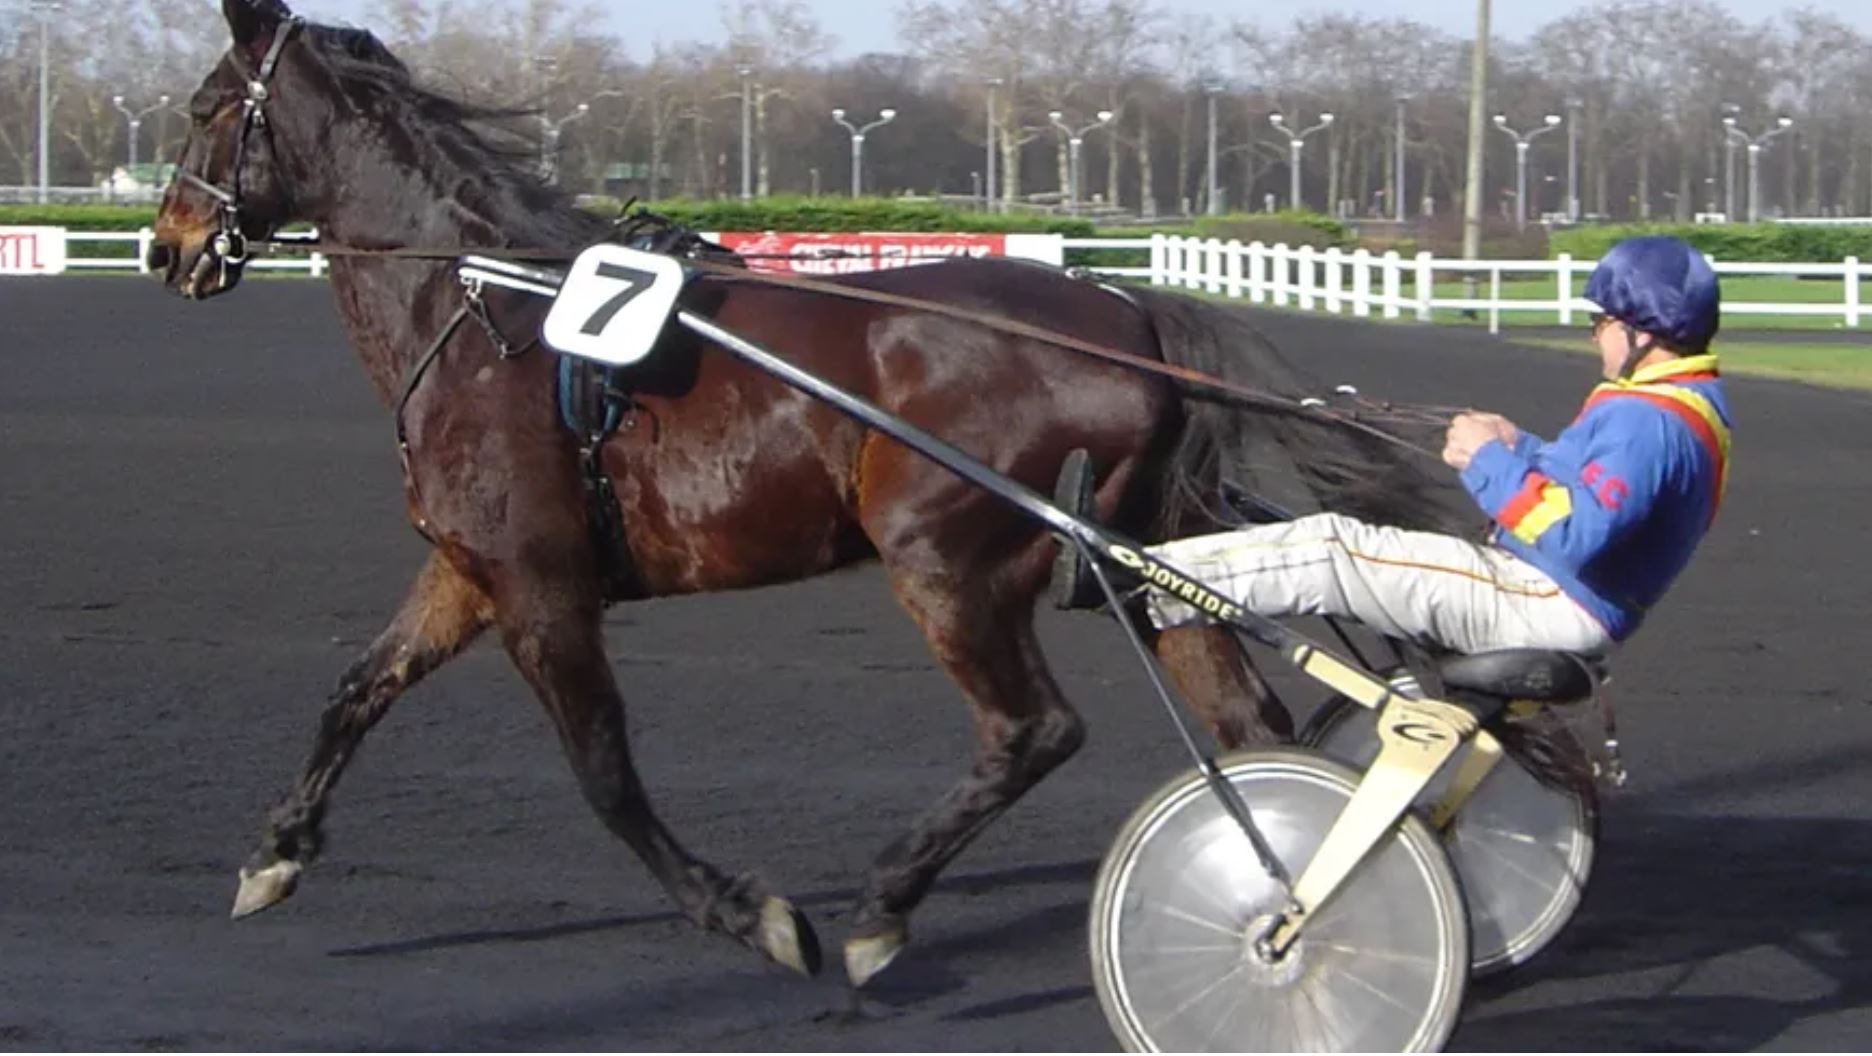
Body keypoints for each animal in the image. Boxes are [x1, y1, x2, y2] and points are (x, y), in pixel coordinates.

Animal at [153, 0, 1460, 988]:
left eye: (207, 108)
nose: (168, 246)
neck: (488, 313)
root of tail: (1129, 312)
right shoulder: (470, 571)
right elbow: (355, 691)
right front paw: (275, 853)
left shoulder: (543, 586)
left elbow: (606, 775)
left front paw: (758, 917)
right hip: (1146, 567)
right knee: (1244, 727)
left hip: (944, 556)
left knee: (1032, 729)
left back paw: (887, 906)